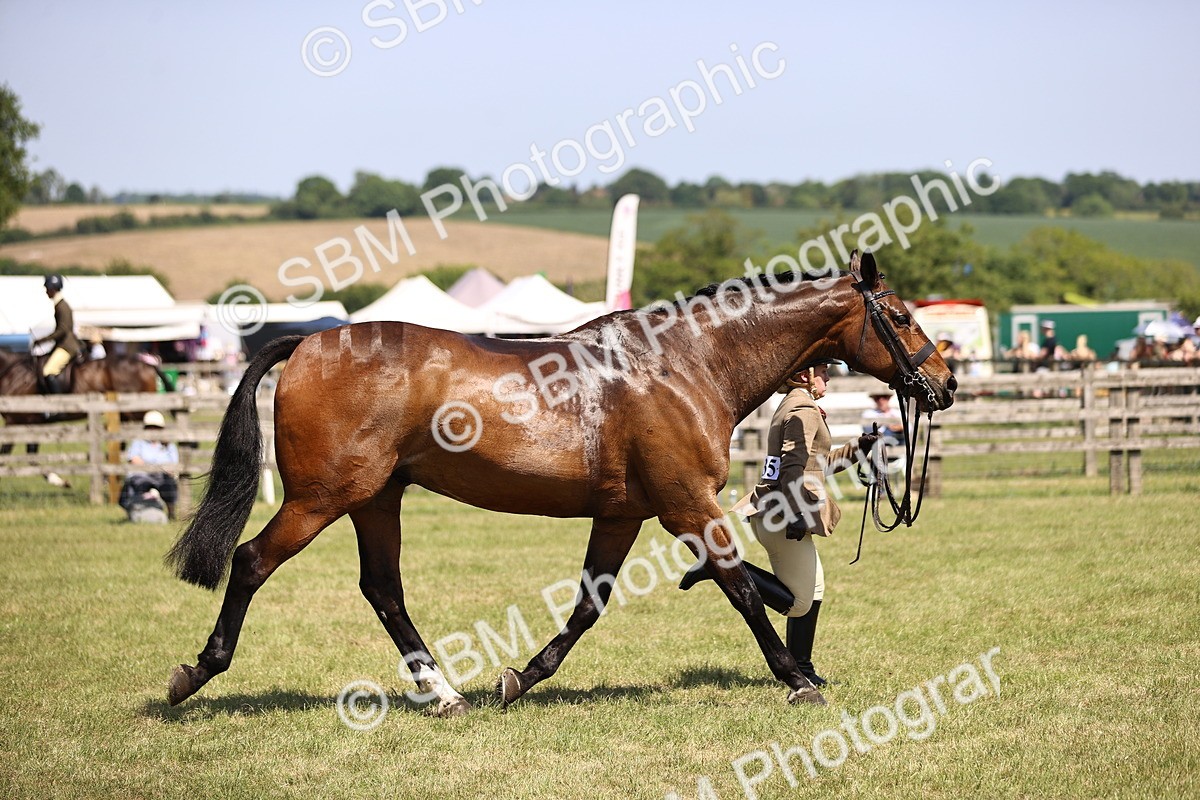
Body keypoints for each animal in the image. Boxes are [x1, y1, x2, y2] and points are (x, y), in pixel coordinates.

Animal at [164, 251, 957, 715]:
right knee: (251, 562)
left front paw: (520, 678)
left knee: (383, 590)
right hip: (321, 499)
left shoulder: (624, 516)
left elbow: (587, 607)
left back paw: (445, 693)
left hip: (375, 500)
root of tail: (310, 340)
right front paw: (796, 678)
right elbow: (740, 590)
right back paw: (196, 674)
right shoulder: (687, 507)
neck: (686, 363)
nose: (944, 384)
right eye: (902, 315)